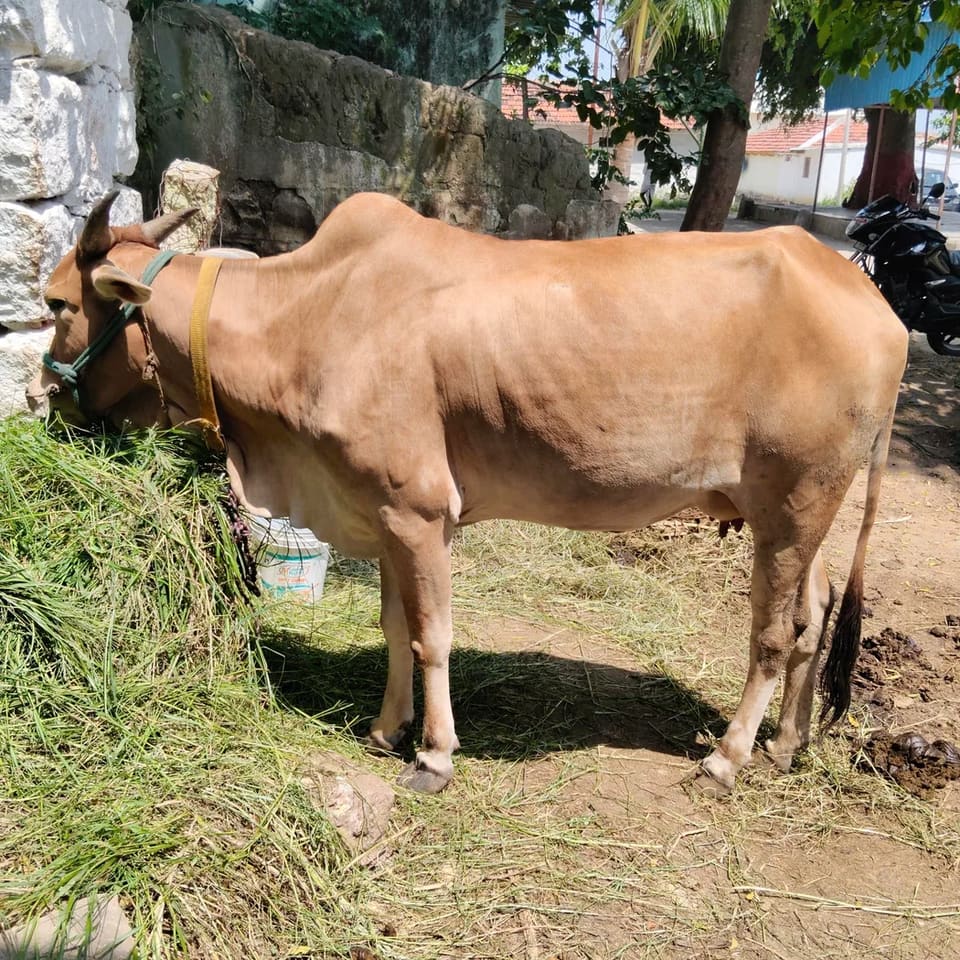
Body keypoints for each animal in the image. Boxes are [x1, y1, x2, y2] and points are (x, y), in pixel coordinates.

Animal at [30, 190, 908, 795]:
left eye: (58, 303)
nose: (42, 401)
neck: (308, 315)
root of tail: (875, 304)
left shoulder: (418, 512)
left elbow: (432, 637)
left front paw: (435, 753)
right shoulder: (382, 514)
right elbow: (394, 629)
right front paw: (386, 728)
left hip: (795, 503)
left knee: (774, 633)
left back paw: (728, 758)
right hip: (794, 513)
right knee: (813, 614)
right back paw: (787, 744)